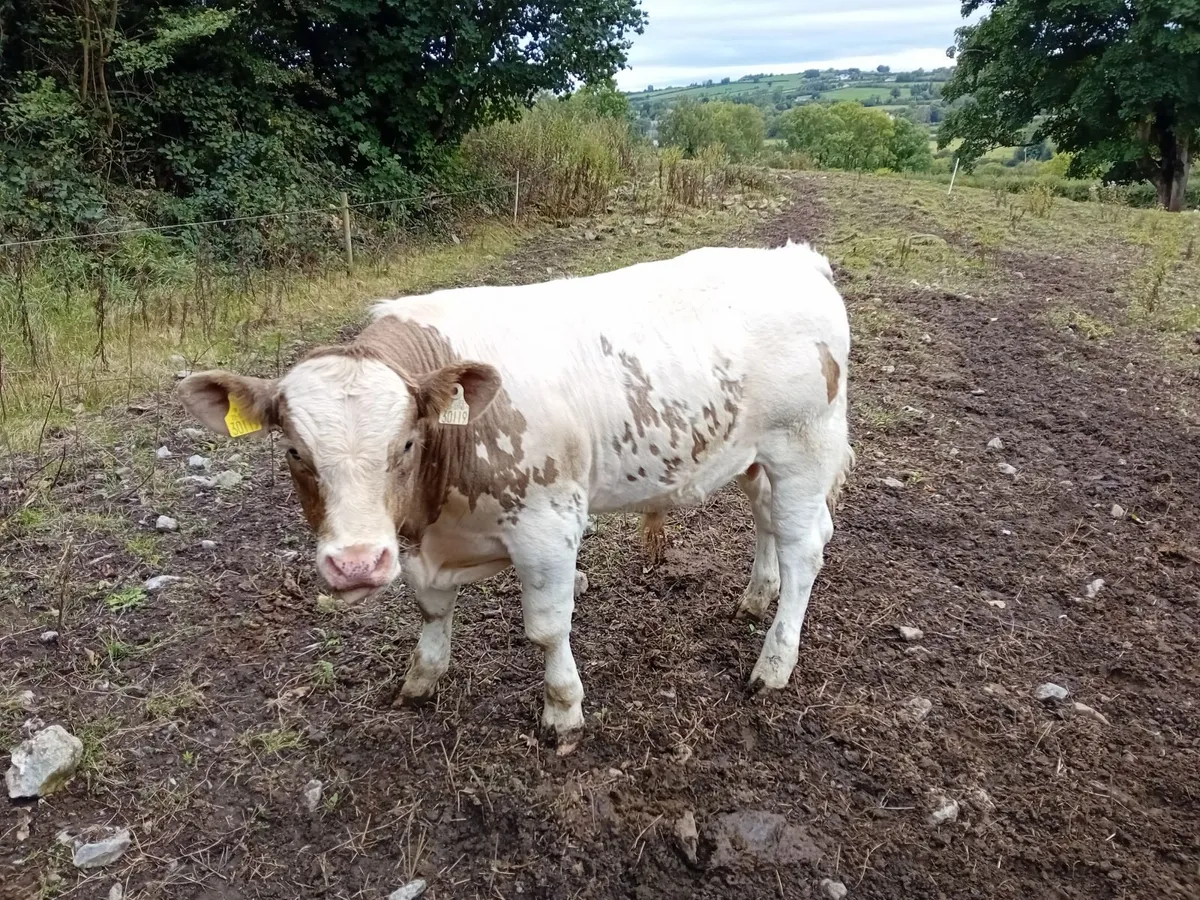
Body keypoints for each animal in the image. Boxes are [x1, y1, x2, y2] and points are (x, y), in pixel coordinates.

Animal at [177, 242, 853, 736]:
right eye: (294, 451)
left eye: (406, 444)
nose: (356, 564)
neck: (436, 515)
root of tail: (794, 258)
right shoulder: (419, 544)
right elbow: (431, 611)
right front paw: (421, 678)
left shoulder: (548, 527)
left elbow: (548, 629)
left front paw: (563, 711)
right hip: (754, 455)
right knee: (768, 520)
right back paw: (756, 596)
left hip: (804, 445)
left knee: (805, 548)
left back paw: (773, 662)